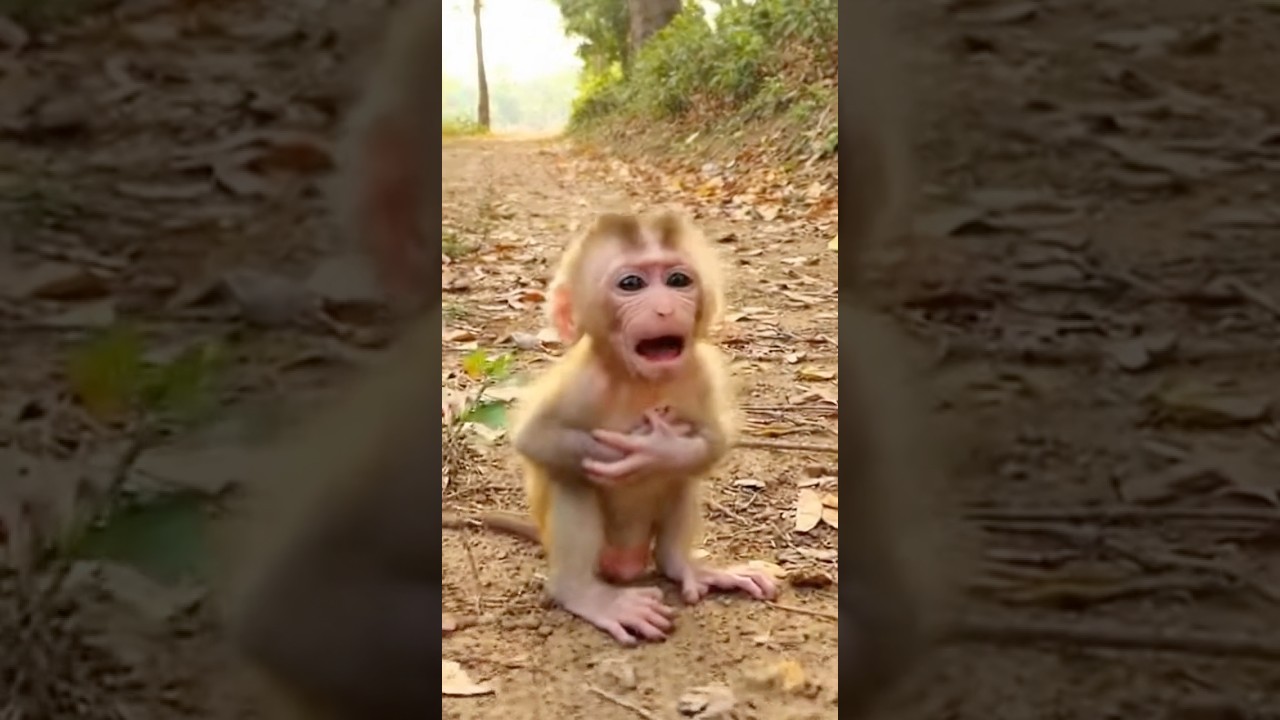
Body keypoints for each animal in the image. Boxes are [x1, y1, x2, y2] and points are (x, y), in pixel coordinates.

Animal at [503, 209, 778, 645]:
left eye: (678, 280)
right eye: (631, 284)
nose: (665, 309)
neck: (639, 379)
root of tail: (627, 565)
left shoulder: (700, 369)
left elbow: (711, 441)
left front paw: (660, 452)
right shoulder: (584, 380)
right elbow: (536, 438)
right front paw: (634, 451)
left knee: (680, 479)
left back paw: (683, 565)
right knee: (572, 478)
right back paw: (584, 593)